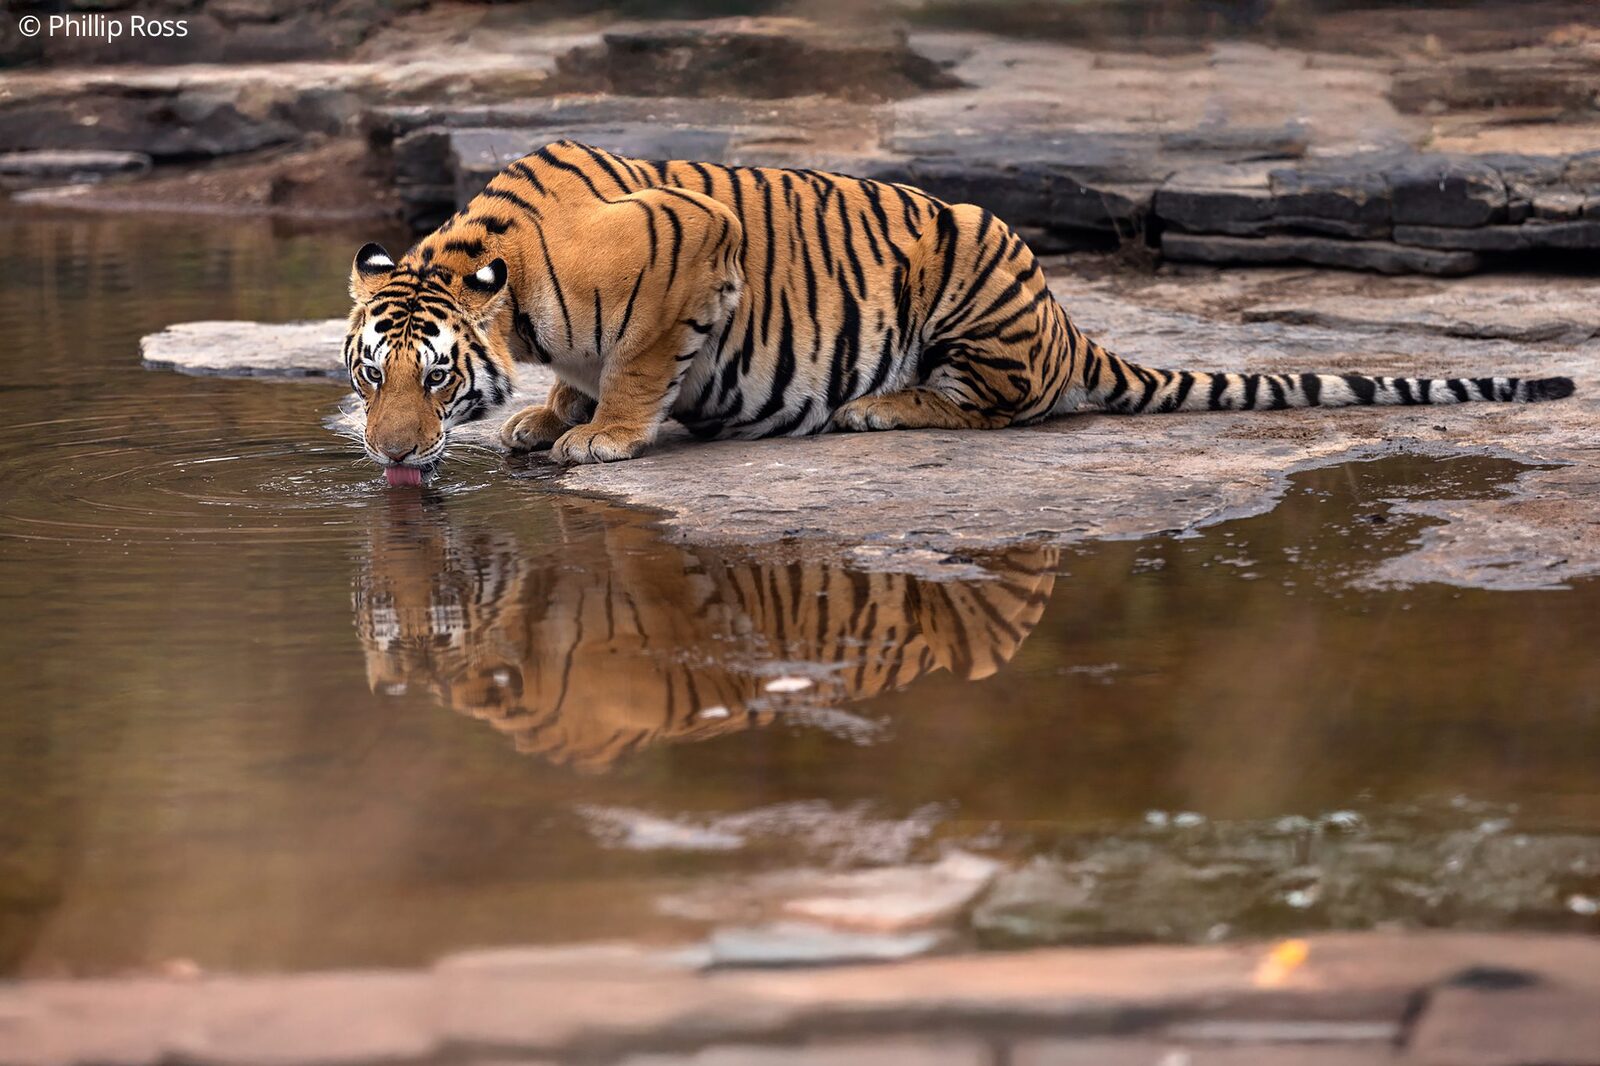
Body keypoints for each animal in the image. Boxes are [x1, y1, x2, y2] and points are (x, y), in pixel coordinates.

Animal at [344, 139, 1575, 479]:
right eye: (370, 373)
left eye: (436, 374)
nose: (395, 455)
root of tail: (1067, 317)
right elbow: (576, 373)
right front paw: (547, 414)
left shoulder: (698, 241)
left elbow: (643, 360)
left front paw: (599, 433)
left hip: (966, 272)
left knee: (1006, 404)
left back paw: (880, 407)